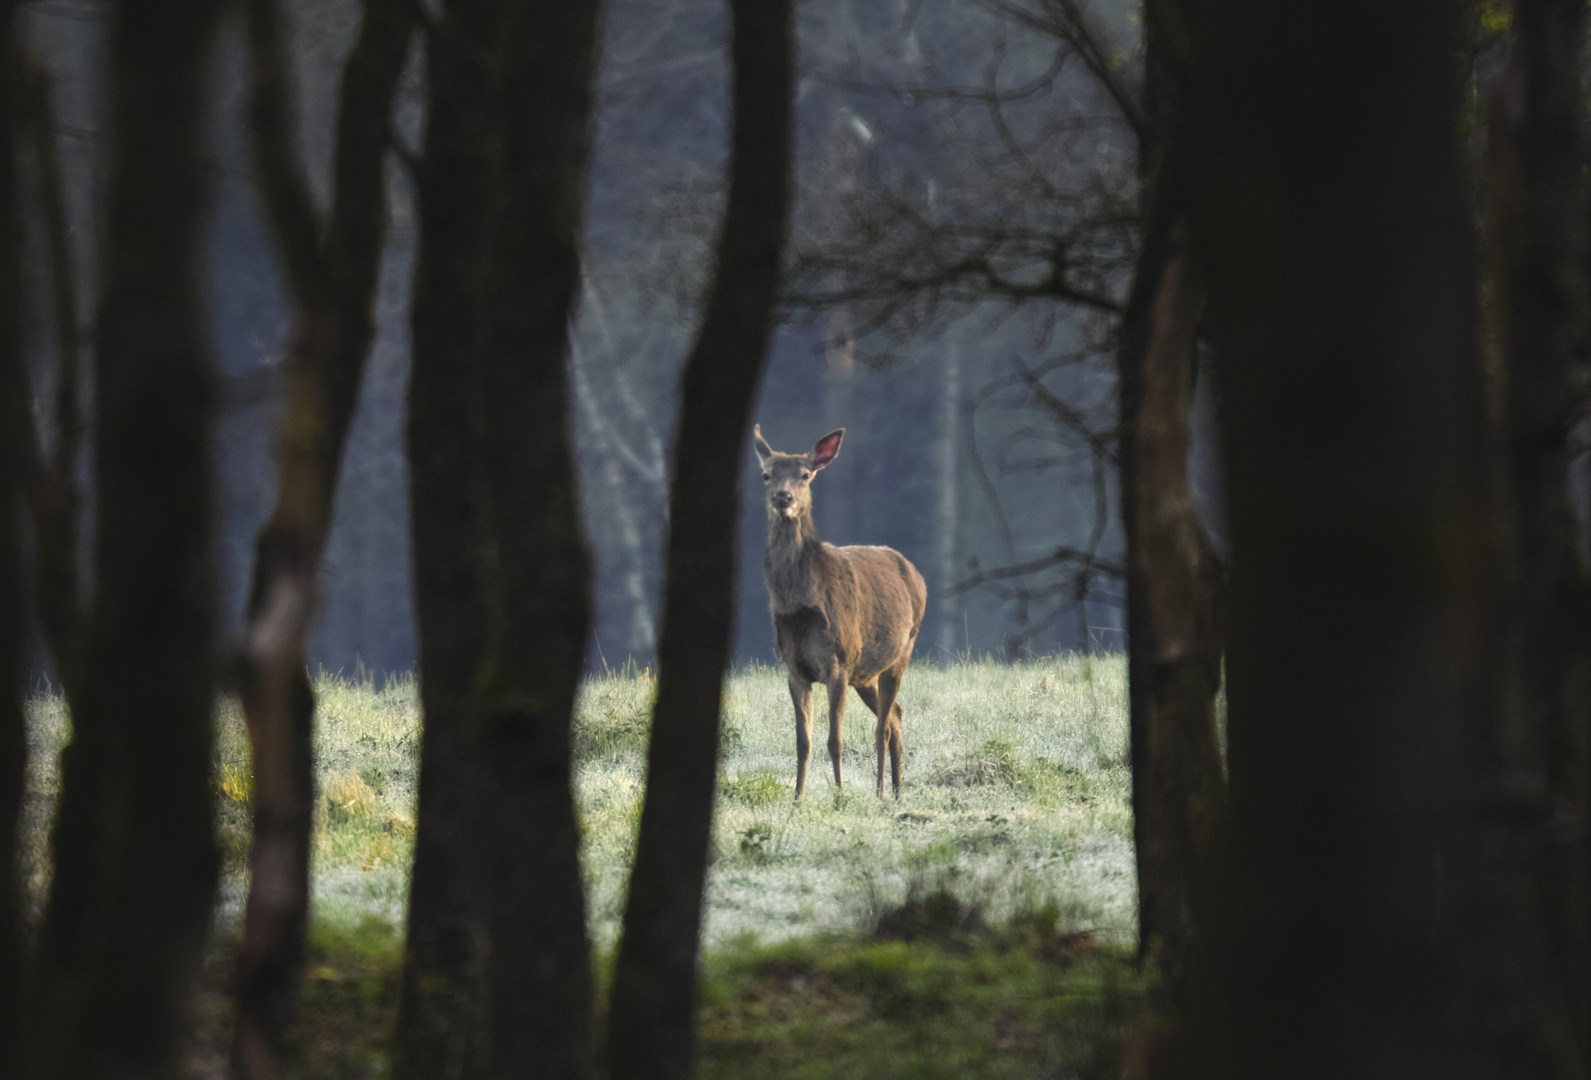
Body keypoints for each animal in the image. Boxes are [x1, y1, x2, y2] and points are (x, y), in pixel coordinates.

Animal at [750, 426, 929, 798]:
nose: (783, 498)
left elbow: (835, 740)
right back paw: (896, 790)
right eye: (766, 474)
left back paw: (881, 791)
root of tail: (917, 575)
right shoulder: (794, 668)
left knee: (883, 726)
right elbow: (803, 742)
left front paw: (840, 794)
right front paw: (798, 798)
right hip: (866, 673)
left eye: (805, 475)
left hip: (903, 649)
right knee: (896, 715)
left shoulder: (839, 662)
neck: (800, 607)